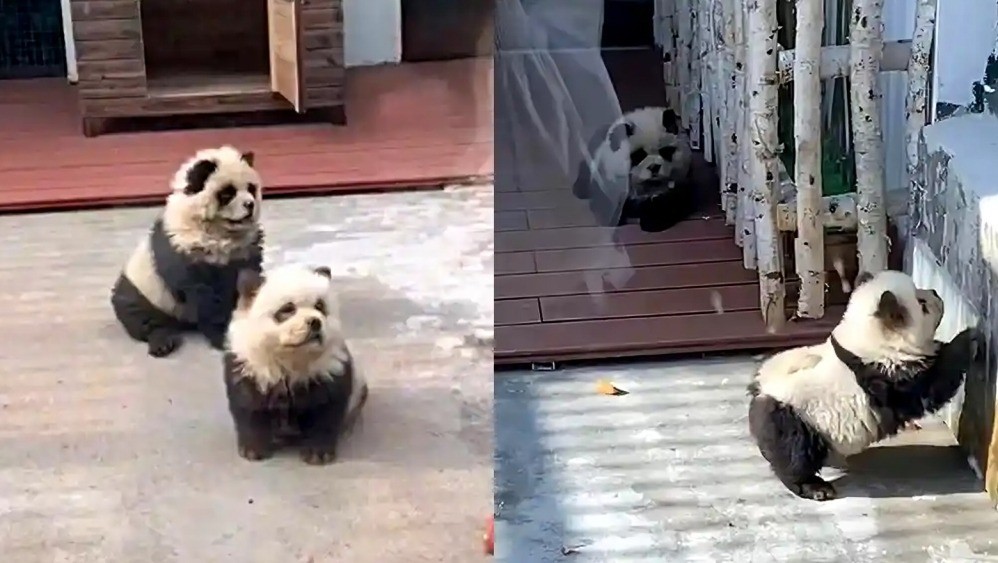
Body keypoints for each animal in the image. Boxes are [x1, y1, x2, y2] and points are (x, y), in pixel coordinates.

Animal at [110, 146, 265, 358]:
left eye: (251, 188)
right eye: (228, 193)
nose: (250, 204)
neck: (222, 233)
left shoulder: (246, 249)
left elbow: (250, 277)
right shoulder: (186, 249)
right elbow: (205, 297)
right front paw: (222, 336)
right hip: (143, 287)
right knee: (137, 314)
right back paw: (161, 342)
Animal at [223, 264, 368, 465]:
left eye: (320, 306)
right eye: (287, 309)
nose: (315, 322)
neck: (292, 359)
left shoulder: (328, 370)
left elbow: (325, 410)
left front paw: (317, 453)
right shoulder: (250, 367)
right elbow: (249, 407)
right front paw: (253, 450)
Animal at [748, 270, 981, 501]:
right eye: (921, 303)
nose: (934, 292)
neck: (869, 339)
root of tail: (759, 393)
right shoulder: (888, 377)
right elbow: (931, 386)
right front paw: (969, 338)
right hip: (799, 419)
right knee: (795, 453)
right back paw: (815, 487)